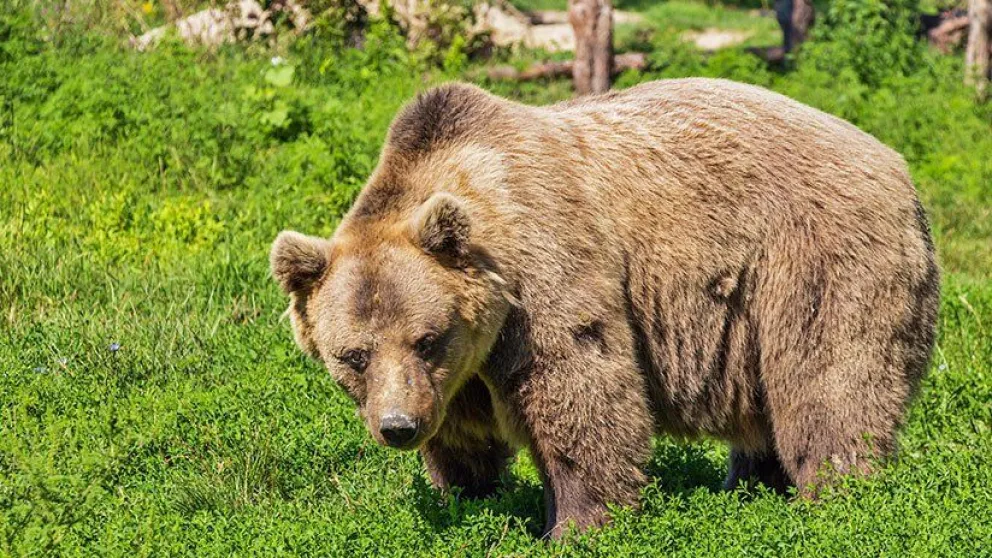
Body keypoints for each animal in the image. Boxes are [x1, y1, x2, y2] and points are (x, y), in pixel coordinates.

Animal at [270, 78, 940, 539]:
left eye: (426, 337)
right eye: (353, 355)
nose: (398, 427)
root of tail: (898, 166)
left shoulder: (544, 275)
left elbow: (580, 390)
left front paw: (576, 523)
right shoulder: (458, 372)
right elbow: (463, 435)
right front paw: (468, 496)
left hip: (815, 260)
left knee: (829, 382)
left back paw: (836, 495)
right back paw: (750, 486)